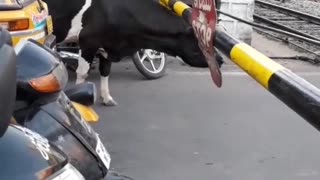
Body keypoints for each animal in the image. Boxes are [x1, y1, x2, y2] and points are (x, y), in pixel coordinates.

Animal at [42, 0, 222, 106]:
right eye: (202, 43)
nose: (220, 60)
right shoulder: (88, 41)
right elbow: (83, 73)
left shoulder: (108, 46)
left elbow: (105, 71)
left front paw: (107, 98)